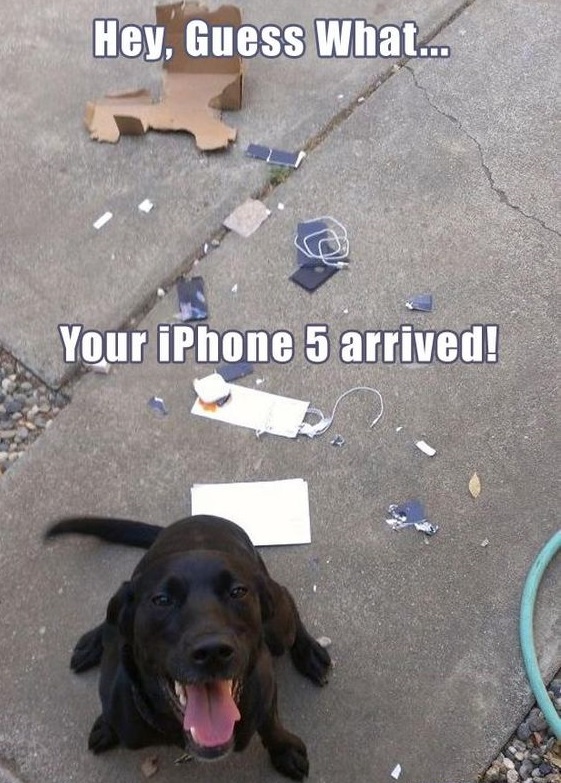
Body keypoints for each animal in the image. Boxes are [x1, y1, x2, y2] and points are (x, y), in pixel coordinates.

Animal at [47, 516, 332, 780]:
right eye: (162, 600)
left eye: (238, 591)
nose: (212, 651)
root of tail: (202, 516)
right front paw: (107, 725)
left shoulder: (265, 688)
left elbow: (272, 724)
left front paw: (285, 749)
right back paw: (93, 642)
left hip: (277, 624)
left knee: (289, 603)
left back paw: (310, 653)